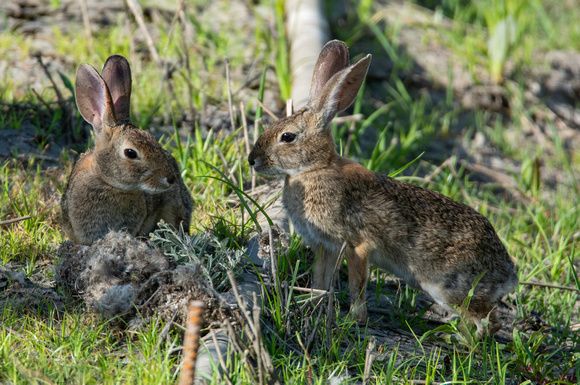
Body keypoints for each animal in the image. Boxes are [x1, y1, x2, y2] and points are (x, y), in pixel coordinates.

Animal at [248, 39, 516, 332]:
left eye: (287, 137)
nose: (252, 160)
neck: (313, 169)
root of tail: (508, 273)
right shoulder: (326, 246)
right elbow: (321, 278)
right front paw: (314, 306)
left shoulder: (357, 244)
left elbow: (357, 284)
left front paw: (354, 319)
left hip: (447, 287)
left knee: (489, 321)